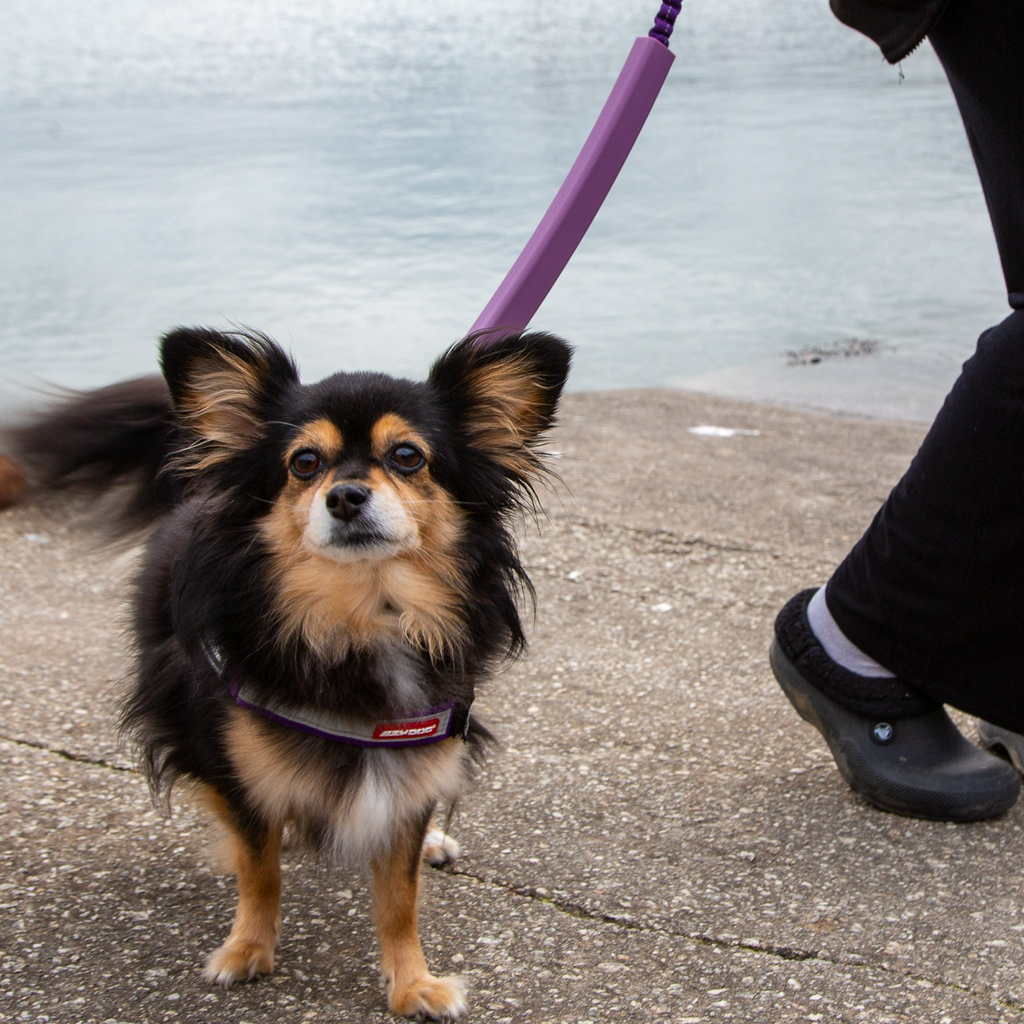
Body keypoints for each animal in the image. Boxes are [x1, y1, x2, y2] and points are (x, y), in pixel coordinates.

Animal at [9, 325, 569, 1015]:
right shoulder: (240, 767)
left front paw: (412, 983)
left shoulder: (409, 756)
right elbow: (261, 868)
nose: (346, 495)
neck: (361, 619)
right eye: (304, 463)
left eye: (408, 456)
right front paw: (247, 948)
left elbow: (399, 897)